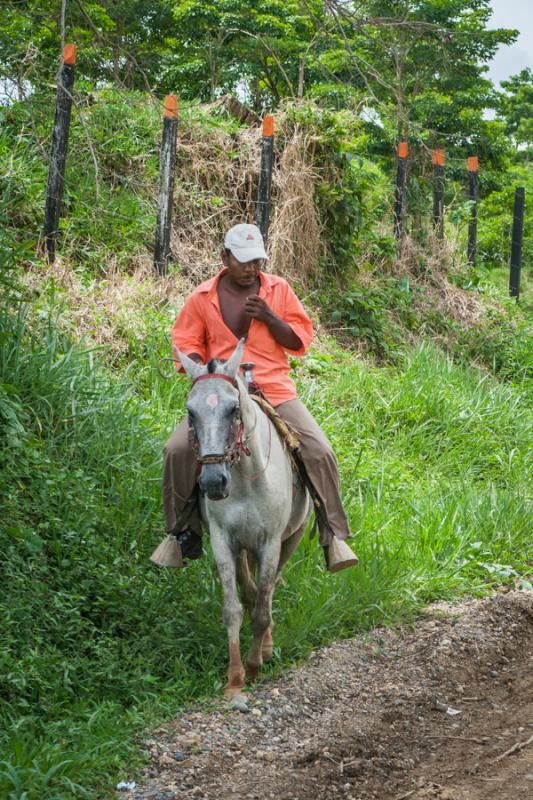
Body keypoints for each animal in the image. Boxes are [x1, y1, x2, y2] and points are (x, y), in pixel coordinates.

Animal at [177, 338, 310, 700]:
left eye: (233, 409)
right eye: (190, 411)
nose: (212, 482)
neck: (247, 477)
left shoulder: (270, 542)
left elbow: (263, 607)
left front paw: (254, 665)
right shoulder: (224, 541)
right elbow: (233, 607)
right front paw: (235, 677)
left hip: (291, 538)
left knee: (271, 588)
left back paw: (265, 647)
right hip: (241, 547)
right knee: (250, 591)